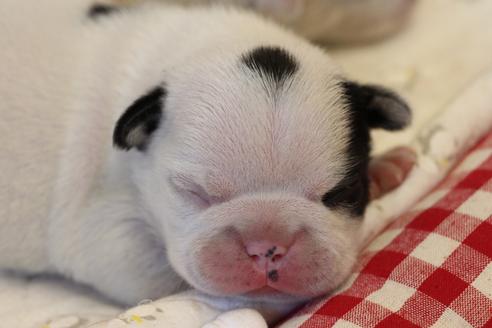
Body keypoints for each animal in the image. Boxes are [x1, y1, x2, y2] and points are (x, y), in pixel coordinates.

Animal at [0, 0, 412, 322]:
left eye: (341, 192)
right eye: (195, 192)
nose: (266, 246)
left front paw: (386, 168)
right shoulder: (106, 233)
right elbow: (175, 279)